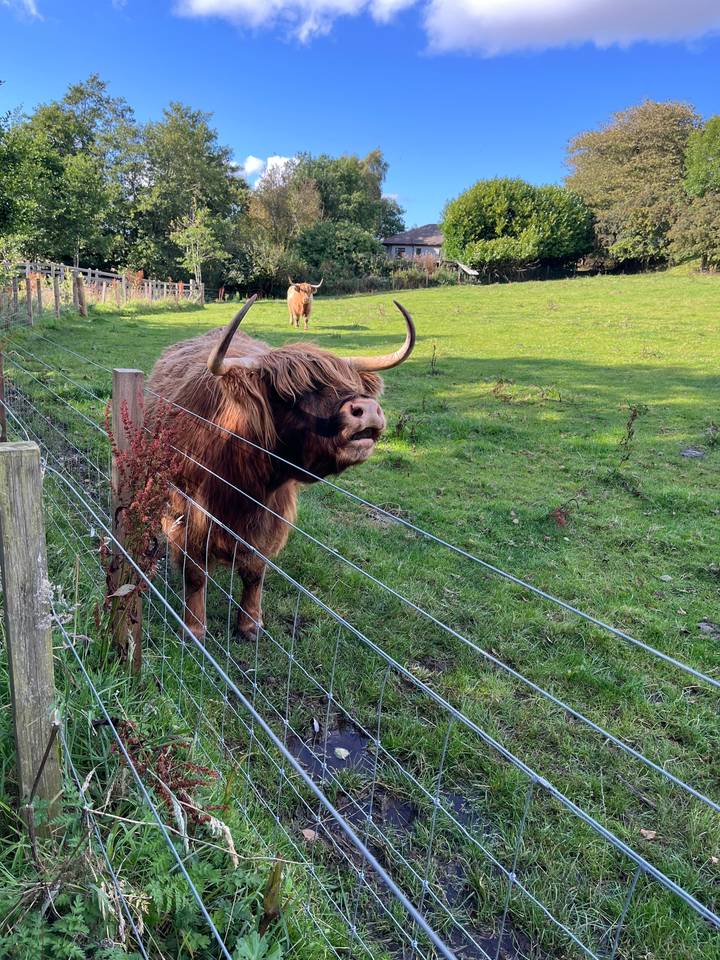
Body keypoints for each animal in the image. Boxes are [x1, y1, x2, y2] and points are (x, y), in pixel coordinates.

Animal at [146, 295, 415, 641]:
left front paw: (250, 624)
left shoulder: (269, 519)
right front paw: (194, 628)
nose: (367, 409)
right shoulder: (187, 515)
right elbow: (194, 573)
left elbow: (254, 572)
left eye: (348, 383)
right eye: (291, 394)